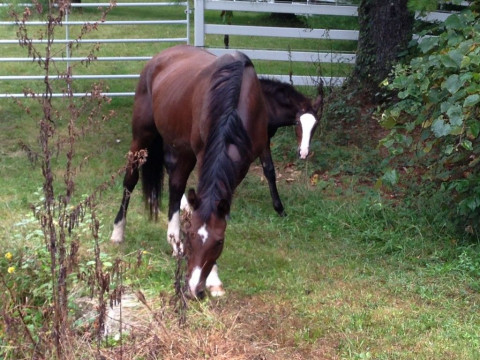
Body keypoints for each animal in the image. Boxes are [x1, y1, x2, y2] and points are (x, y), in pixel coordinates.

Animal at [110, 45, 268, 298]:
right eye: (192, 235)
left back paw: (174, 241)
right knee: (130, 180)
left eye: (219, 242)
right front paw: (214, 279)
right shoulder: (204, 154)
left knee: (176, 186)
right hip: (142, 137)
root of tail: (160, 57)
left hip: (182, 150)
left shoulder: (242, 165)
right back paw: (118, 232)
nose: (194, 289)